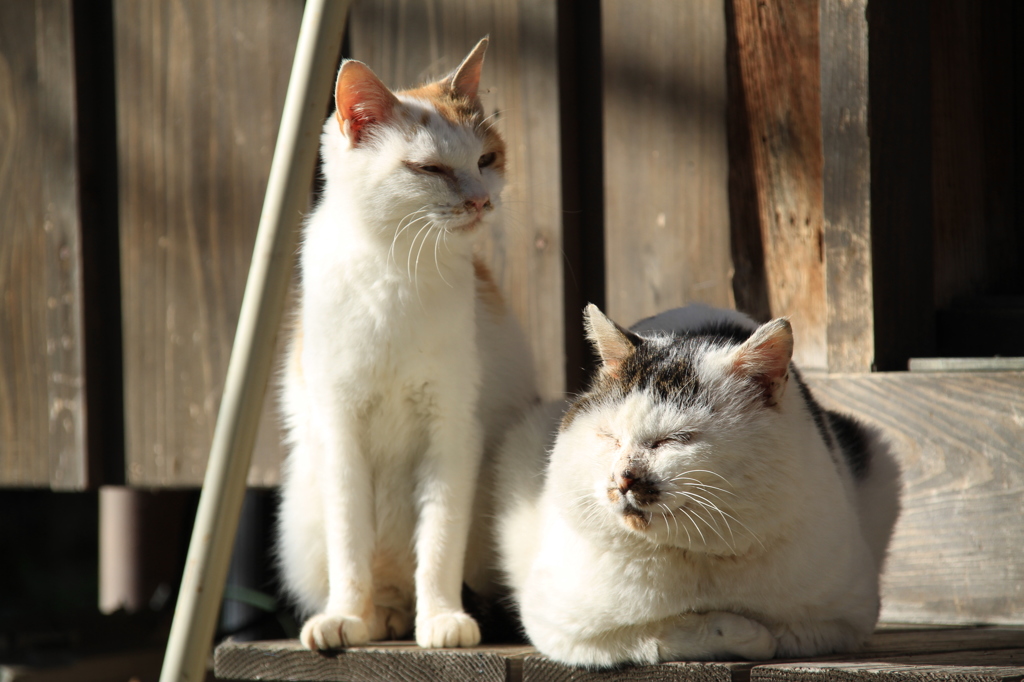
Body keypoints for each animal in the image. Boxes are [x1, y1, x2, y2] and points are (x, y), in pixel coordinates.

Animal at [276, 39, 540, 651]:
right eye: (430, 169)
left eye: (486, 160)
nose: (480, 202)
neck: (395, 269)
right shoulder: (340, 432)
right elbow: (351, 545)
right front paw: (346, 617)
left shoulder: (452, 432)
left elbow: (438, 542)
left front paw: (442, 617)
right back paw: (378, 618)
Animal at [491, 303, 901, 663]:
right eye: (610, 437)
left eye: (675, 439)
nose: (623, 478)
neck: (698, 556)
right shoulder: (560, 626)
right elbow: (654, 634)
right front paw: (739, 632)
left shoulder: (846, 617)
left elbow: (787, 633)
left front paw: (753, 631)